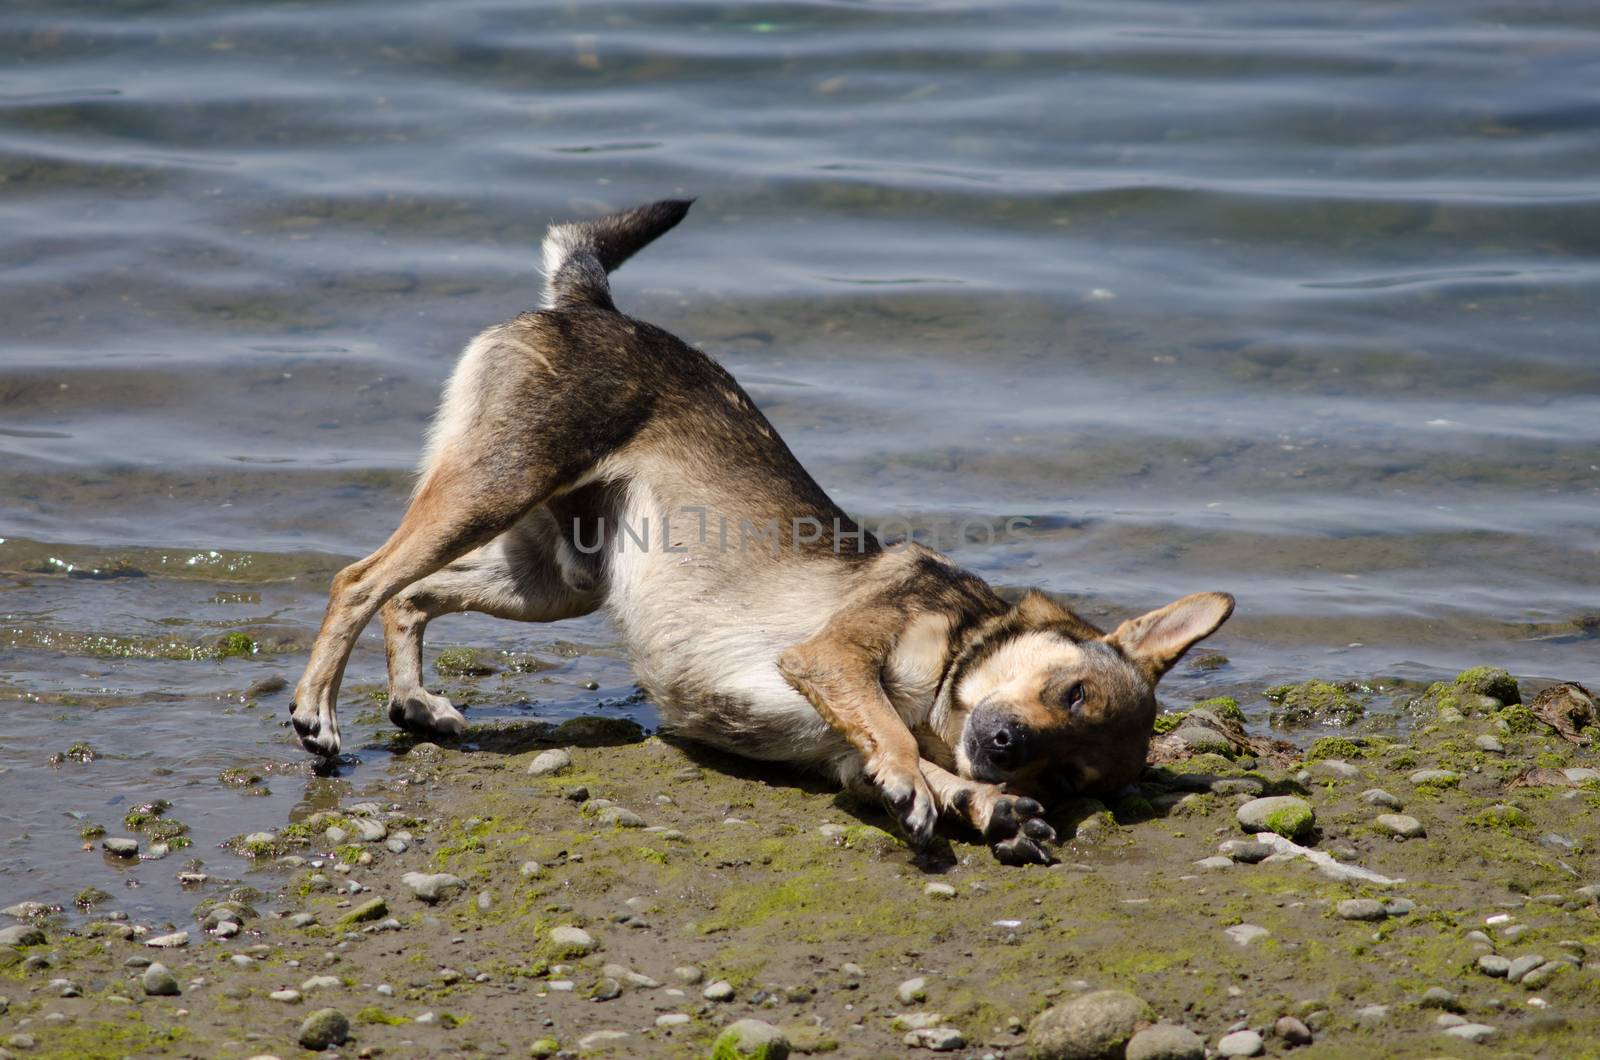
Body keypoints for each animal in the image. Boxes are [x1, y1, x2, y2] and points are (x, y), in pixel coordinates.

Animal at [291, 199, 1235, 864]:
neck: (953, 677)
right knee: (360, 580)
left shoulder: (846, 756)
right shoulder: (830, 659)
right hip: (495, 487)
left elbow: (917, 772)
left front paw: (990, 808)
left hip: (555, 580)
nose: (1006, 749)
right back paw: (318, 716)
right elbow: (894, 738)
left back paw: (415, 701)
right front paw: (935, 778)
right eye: (1069, 692)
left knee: (410, 595)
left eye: (1068, 770)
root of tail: (593, 303)